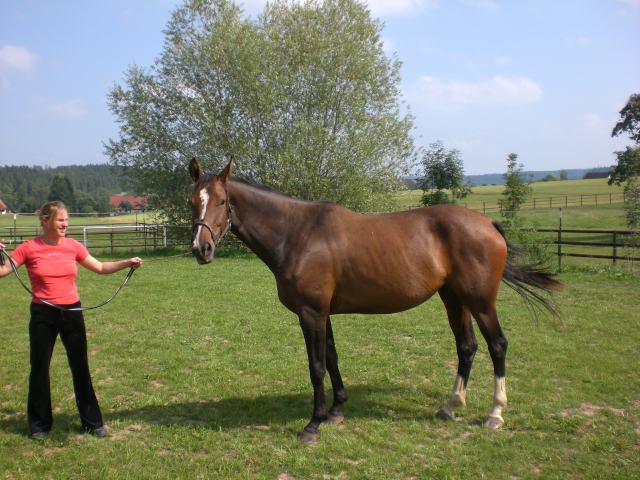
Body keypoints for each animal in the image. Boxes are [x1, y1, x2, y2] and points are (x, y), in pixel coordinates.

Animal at [188, 158, 560, 444]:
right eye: (192, 201)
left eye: (221, 201)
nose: (200, 249)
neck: (297, 233)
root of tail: (488, 224)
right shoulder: (324, 313)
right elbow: (333, 359)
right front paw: (336, 411)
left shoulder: (311, 313)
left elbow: (316, 366)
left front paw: (313, 424)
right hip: (454, 298)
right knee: (466, 347)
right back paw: (450, 406)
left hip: (481, 302)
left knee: (497, 344)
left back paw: (495, 413)